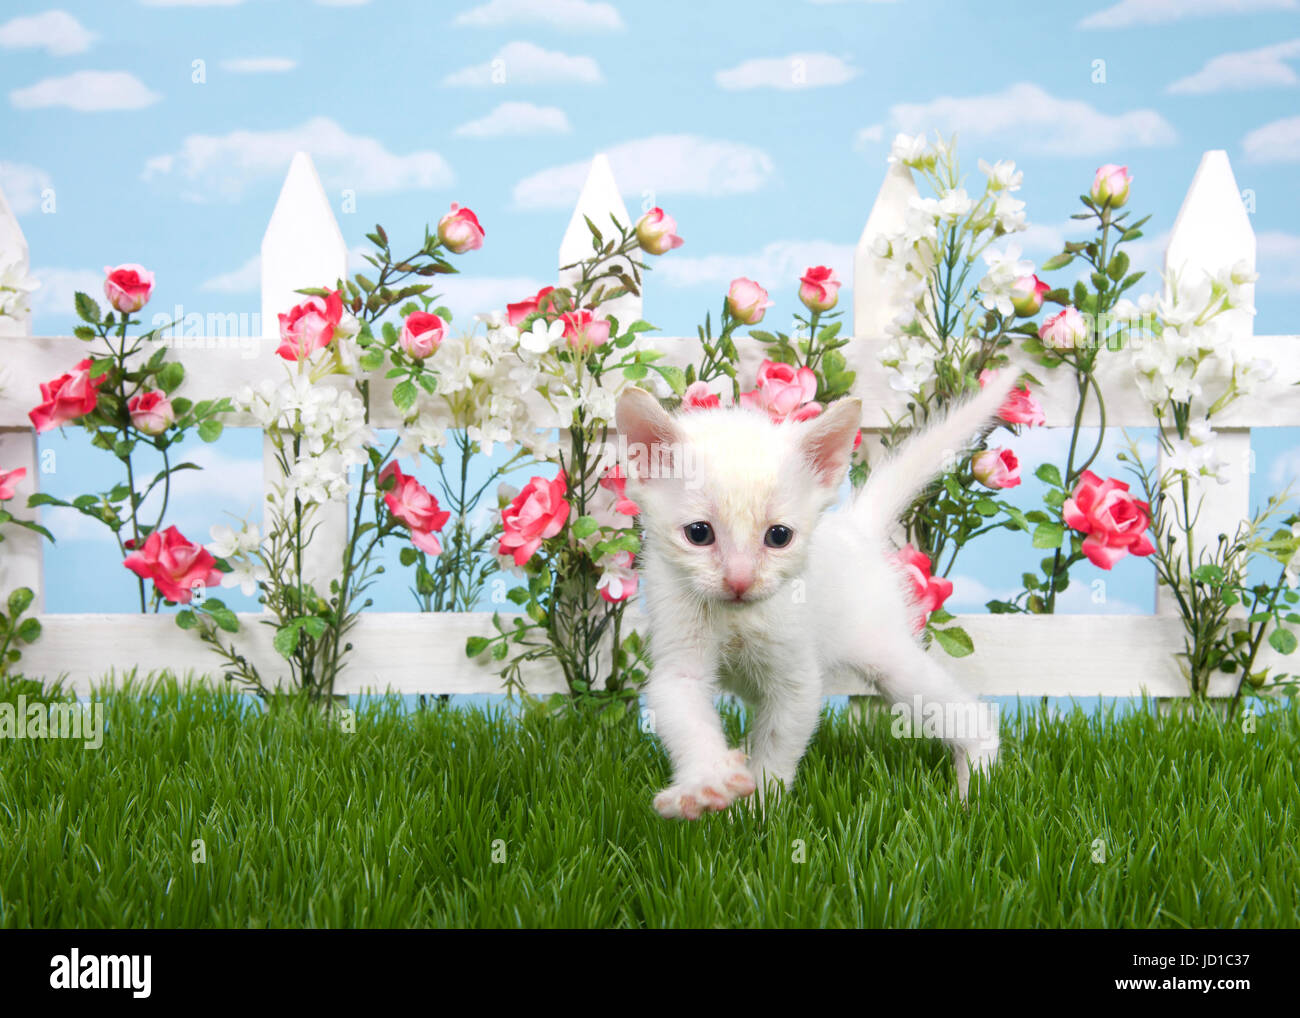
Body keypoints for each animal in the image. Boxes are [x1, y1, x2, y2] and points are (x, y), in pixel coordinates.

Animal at [613, 374, 1019, 821]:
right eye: (698, 533)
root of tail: (855, 526)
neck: (736, 617)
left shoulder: (798, 680)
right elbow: (686, 717)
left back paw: (971, 790)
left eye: (779, 536)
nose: (740, 580)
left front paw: (759, 808)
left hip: (890, 658)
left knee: (971, 714)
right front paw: (707, 783)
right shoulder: (678, 661)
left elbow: (778, 745)